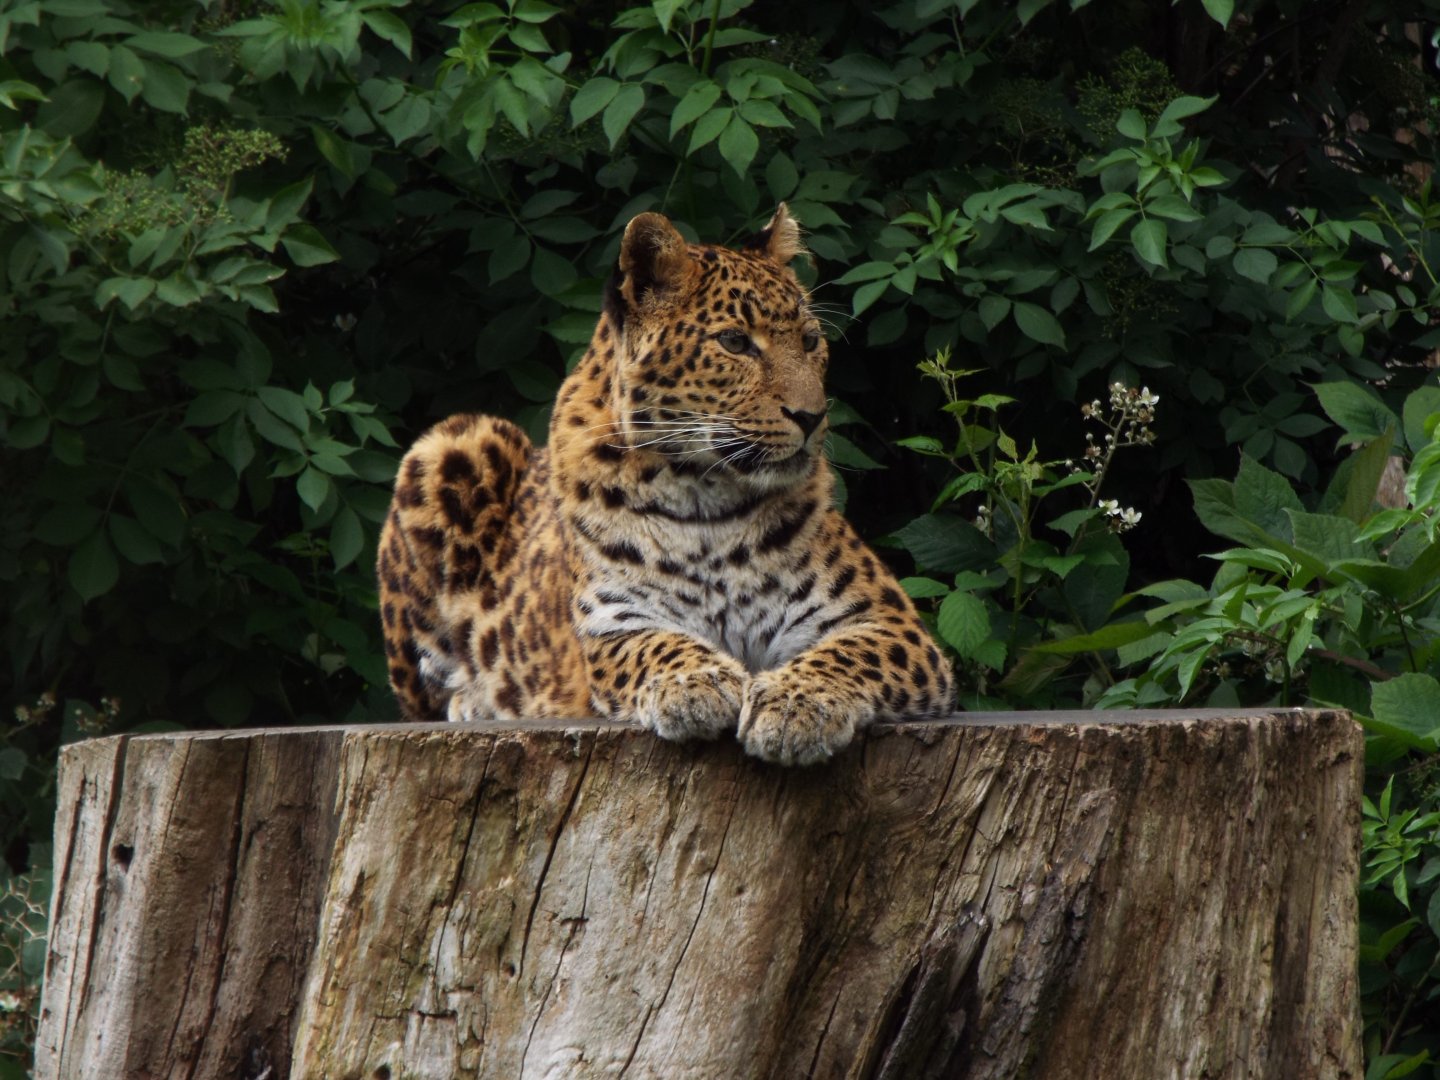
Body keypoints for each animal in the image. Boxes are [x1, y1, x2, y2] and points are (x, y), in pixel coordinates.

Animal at [376, 204, 955, 765]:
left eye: (811, 341)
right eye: (735, 342)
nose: (812, 417)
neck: (707, 500)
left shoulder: (888, 621)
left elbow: (848, 655)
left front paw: (795, 705)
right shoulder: (614, 621)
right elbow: (657, 647)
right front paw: (696, 684)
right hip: (452, 444)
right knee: (426, 696)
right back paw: (474, 701)